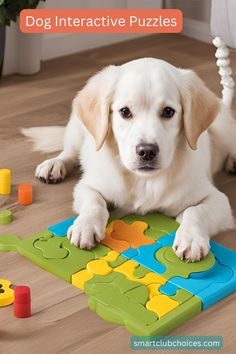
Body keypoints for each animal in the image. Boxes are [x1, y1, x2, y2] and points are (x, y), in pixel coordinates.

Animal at [23, 39, 236, 262]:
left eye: (168, 112)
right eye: (125, 112)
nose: (147, 152)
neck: (144, 181)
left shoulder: (218, 199)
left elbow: (195, 211)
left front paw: (191, 239)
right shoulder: (87, 186)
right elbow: (94, 202)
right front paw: (85, 226)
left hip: (223, 126)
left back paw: (233, 161)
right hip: (77, 127)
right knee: (70, 152)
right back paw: (53, 165)